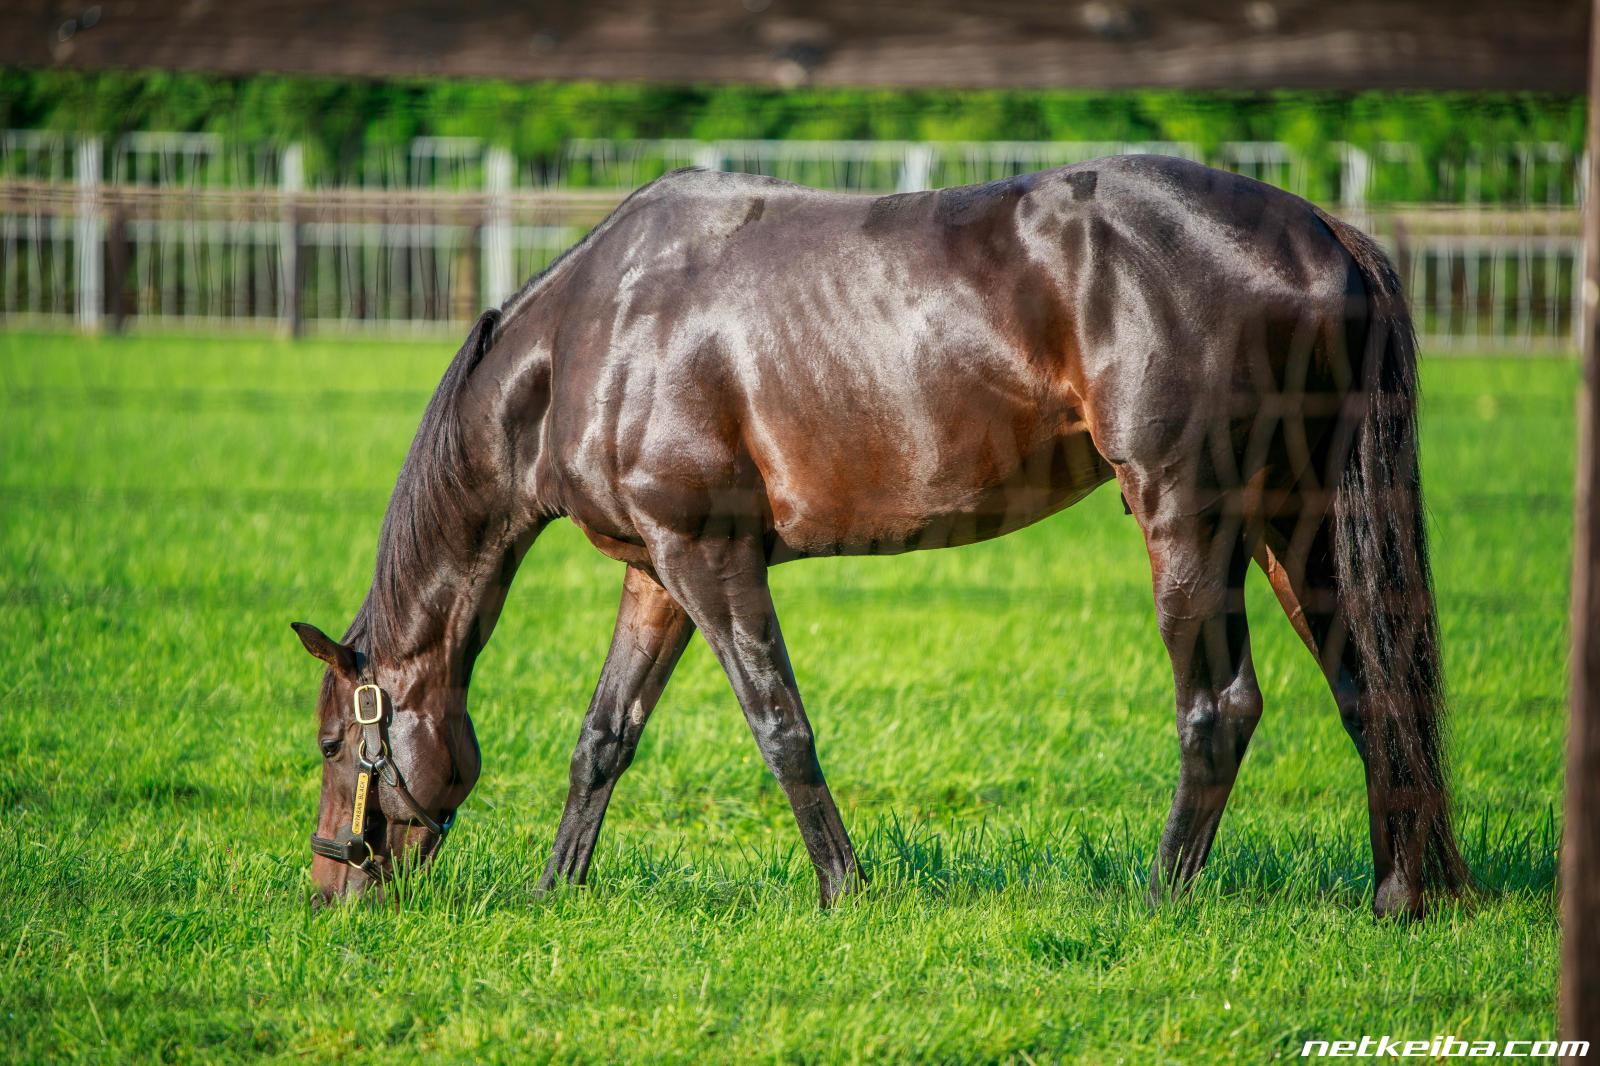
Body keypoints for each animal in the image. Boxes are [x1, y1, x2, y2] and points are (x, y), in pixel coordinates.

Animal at [294, 156, 1465, 915]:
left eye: (334, 742)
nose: (329, 888)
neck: (597, 330)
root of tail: (1322, 232)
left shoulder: (710, 558)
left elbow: (780, 725)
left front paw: (843, 891)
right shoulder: (656, 575)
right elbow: (604, 737)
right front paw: (554, 893)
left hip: (1190, 520)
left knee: (1220, 708)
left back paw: (1160, 902)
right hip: (1296, 523)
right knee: (1372, 689)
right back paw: (1402, 895)